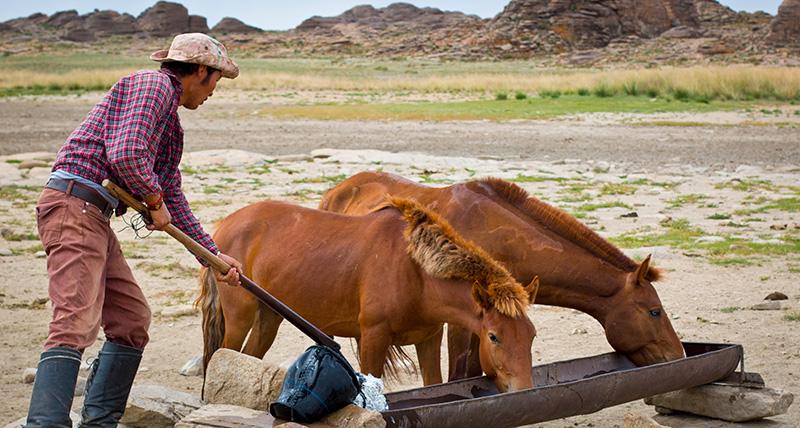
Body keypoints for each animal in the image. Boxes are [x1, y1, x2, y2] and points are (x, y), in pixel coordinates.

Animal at [198, 197, 536, 392]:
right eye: (493, 336)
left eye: (531, 335)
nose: (524, 389)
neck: (415, 273)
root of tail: (223, 226)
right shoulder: (373, 337)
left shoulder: (429, 338)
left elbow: (433, 384)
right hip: (240, 317)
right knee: (222, 357)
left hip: (269, 317)